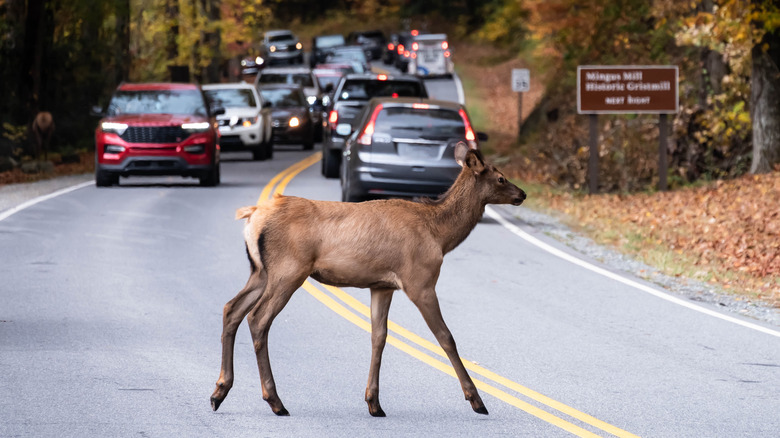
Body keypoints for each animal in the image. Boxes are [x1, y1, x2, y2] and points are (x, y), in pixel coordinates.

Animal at [210, 143, 528, 418]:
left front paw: (374, 402)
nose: (522, 194)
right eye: (501, 177)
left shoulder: (382, 285)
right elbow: (446, 337)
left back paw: (219, 391)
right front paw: (476, 399)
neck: (440, 235)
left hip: (260, 271)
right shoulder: (420, 281)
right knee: (258, 318)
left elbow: (379, 337)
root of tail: (252, 216)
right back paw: (275, 400)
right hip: (288, 269)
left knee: (231, 308)